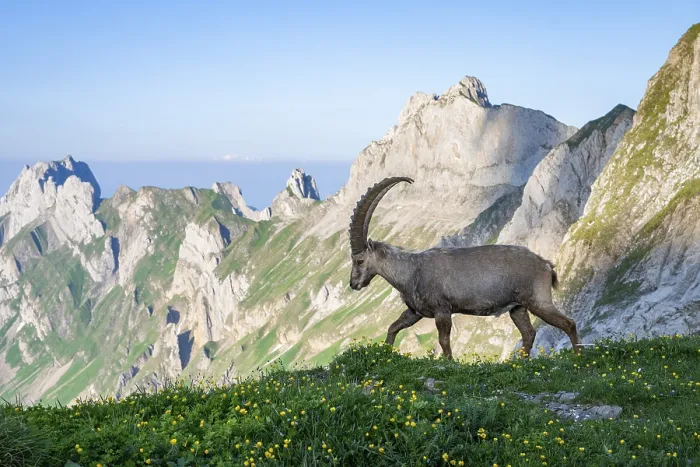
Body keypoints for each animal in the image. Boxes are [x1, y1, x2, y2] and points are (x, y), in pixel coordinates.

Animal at [348, 177, 581, 359]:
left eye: (359, 261)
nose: (353, 284)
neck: (411, 271)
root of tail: (545, 264)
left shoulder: (442, 310)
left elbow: (443, 341)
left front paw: (448, 363)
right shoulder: (415, 312)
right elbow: (393, 327)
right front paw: (385, 353)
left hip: (538, 301)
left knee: (569, 323)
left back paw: (578, 357)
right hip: (518, 308)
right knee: (529, 333)